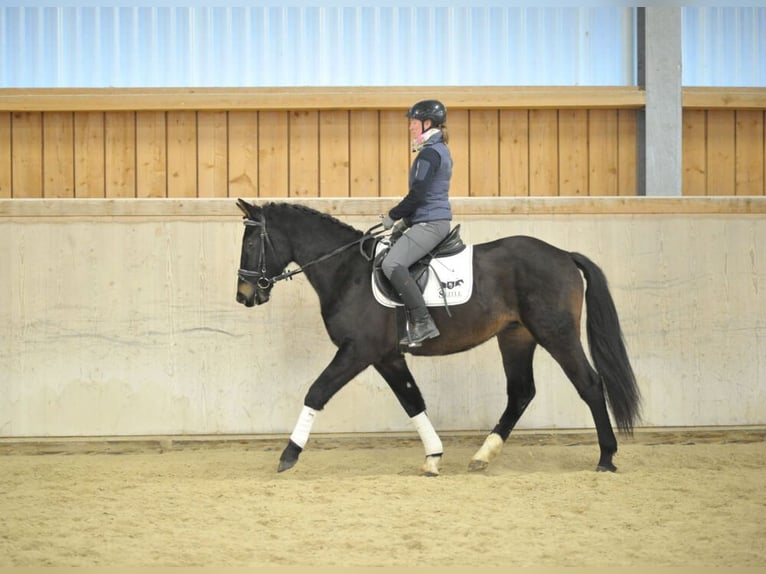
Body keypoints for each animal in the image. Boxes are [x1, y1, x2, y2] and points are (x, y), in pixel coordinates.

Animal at [236, 199, 640, 476]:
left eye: (252, 244)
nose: (245, 295)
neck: (347, 272)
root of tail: (564, 256)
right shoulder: (387, 357)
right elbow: (413, 401)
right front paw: (433, 456)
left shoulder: (358, 352)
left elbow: (316, 392)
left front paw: (288, 455)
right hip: (516, 337)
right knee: (521, 392)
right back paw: (482, 455)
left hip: (556, 333)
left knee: (589, 384)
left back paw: (606, 457)